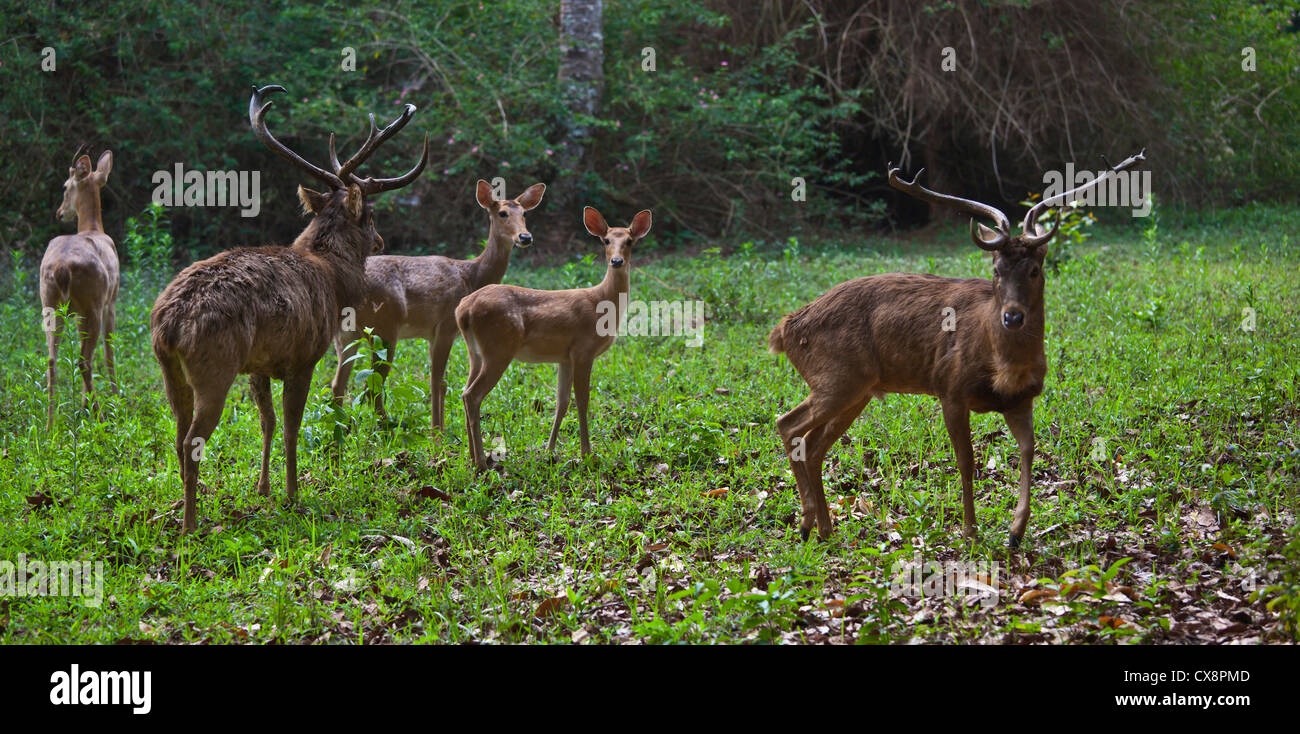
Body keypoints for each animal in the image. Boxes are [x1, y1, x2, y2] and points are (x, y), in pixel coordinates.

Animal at [40, 145, 118, 426]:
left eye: (65, 186)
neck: (94, 229)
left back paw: (50, 423)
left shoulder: (77, 313)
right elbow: (108, 350)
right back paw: (100, 415)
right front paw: (116, 396)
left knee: (52, 360)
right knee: (85, 360)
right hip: (93, 303)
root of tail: (62, 267)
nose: (60, 213)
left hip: (51, 305)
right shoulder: (111, 301)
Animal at [151, 85, 426, 530]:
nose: (381, 240)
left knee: (177, 435)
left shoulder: (259, 365)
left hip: (170, 370)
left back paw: (186, 506)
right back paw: (191, 524)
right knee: (192, 439)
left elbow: (268, 422)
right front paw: (294, 494)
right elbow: (293, 426)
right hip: (214, 366)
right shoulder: (304, 356)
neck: (333, 278)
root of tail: (169, 325)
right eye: (369, 215)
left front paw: (263, 488)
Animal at [332, 177, 546, 431]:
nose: (525, 237)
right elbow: (436, 381)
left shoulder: (434, 334)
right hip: (383, 328)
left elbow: (442, 382)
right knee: (371, 385)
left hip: (346, 334)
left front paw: (441, 427)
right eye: (502, 213)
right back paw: (385, 428)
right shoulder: (445, 325)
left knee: (338, 384)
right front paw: (437, 431)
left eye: (524, 213)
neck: (471, 276)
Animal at [457, 206, 655, 470]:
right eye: (606, 240)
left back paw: (471, 456)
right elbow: (582, 401)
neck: (602, 304)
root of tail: (464, 309)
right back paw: (480, 462)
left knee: (464, 391)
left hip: (476, 353)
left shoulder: (565, 357)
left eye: (630, 241)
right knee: (472, 395)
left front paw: (549, 450)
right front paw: (587, 454)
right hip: (498, 349)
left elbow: (562, 402)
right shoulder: (583, 350)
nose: (616, 261)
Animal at [764, 151, 1144, 545]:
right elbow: (966, 461)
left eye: (1035, 270)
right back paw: (807, 522)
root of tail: (785, 329)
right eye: (996, 269)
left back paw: (823, 528)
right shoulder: (951, 388)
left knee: (814, 444)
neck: (1004, 365)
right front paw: (970, 530)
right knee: (787, 424)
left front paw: (1016, 530)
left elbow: (1028, 450)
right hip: (837, 377)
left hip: (857, 389)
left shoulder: (1022, 399)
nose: (1013, 316)